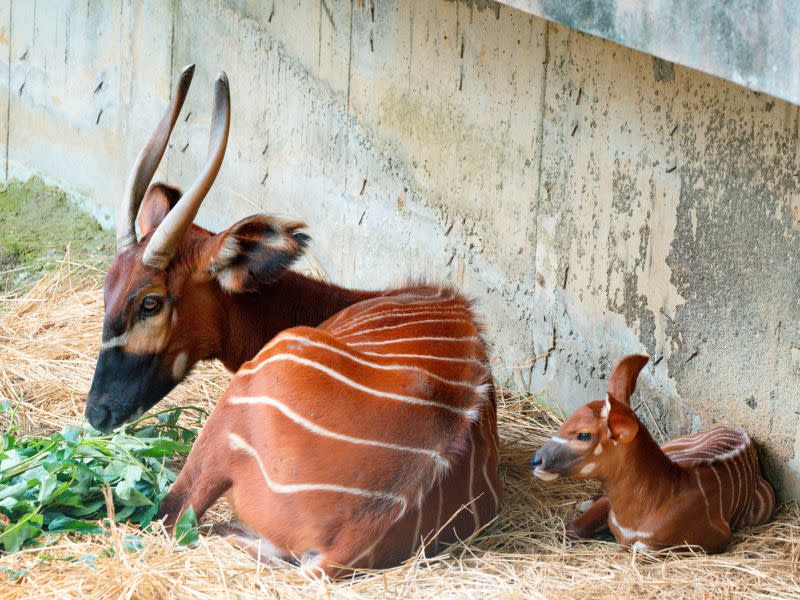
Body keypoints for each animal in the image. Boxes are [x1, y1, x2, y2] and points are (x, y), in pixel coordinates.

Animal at [86, 68, 500, 576]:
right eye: (108, 288)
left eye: (150, 302)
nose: (97, 413)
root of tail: (350, 539)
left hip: (228, 419)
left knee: (169, 513)